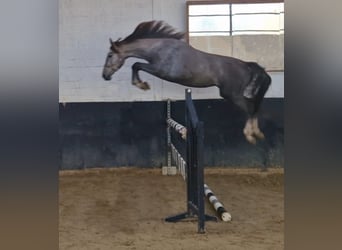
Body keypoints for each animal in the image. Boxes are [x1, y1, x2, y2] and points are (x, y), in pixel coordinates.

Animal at [101, 20, 270, 144]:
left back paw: (250, 135)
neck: (159, 48)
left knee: (250, 109)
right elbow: (136, 65)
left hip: (232, 94)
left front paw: (142, 85)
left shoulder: (160, 70)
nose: (105, 76)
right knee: (256, 107)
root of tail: (247, 65)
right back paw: (258, 133)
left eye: (109, 55)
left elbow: (136, 65)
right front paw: (142, 85)